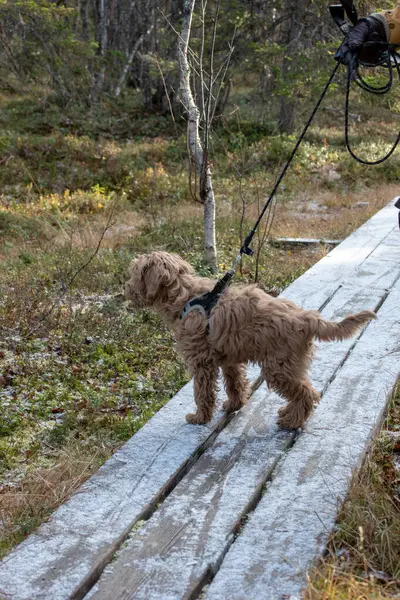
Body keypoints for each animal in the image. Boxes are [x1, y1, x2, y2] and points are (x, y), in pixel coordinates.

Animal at [124, 251, 376, 428]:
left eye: (135, 273)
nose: (125, 289)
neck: (186, 295)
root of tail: (305, 317)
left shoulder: (201, 362)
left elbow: (202, 392)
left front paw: (199, 417)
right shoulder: (228, 357)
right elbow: (234, 383)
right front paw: (234, 404)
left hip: (278, 368)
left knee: (307, 393)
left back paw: (291, 422)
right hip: (288, 365)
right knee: (304, 391)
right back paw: (288, 413)